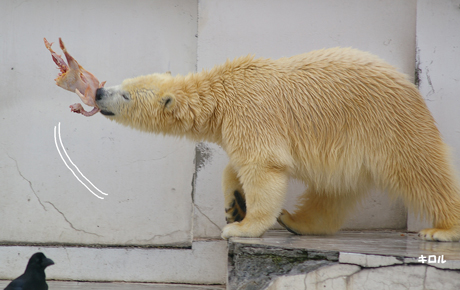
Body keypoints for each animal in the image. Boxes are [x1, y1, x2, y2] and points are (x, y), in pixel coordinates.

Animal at [94, 48, 460, 240]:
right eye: (122, 84)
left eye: (125, 95)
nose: (98, 91)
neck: (220, 94)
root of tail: (409, 85)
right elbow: (238, 164)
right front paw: (233, 203)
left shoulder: (251, 113)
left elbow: (263, 168)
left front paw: (240, 227)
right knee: (334, 191)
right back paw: (297, 221)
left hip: (389, 124)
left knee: (421, 170)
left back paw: (442, 230)